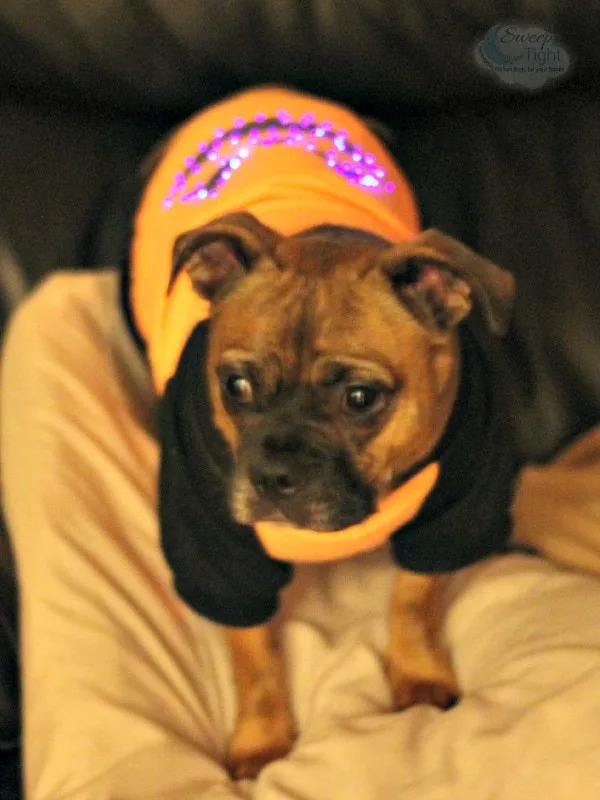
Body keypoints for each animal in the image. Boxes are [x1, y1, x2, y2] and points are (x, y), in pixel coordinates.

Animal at [123, 86, 516, 776]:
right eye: (236, 386)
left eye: (360, 399)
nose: (274, 477)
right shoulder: (222, 558)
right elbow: (253, 656)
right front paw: (262, 739)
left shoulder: (450, 518)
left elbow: (412, 601)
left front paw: (417, 675)